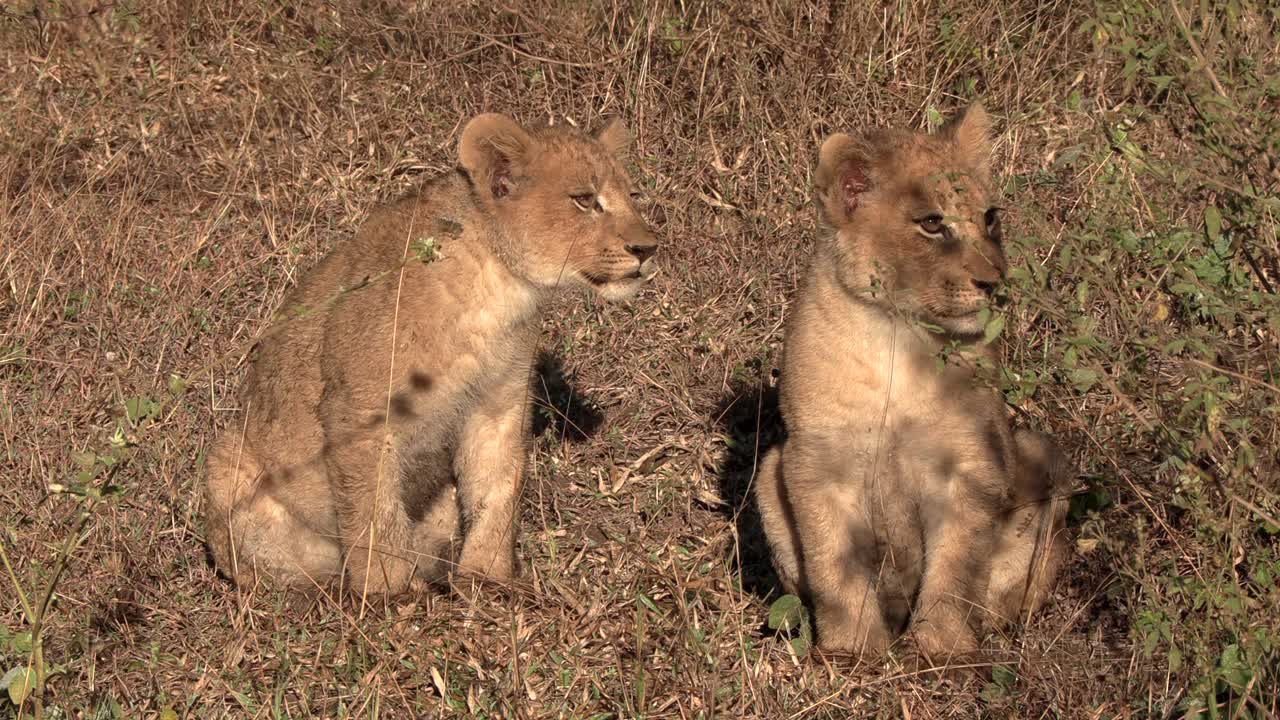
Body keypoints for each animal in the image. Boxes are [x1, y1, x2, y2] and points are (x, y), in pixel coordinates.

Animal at [204, 113, 658, 596]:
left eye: (631, 196)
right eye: (585, 200)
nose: (648, 248)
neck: (497, 288)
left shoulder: (497, 404)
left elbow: (497, 492)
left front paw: (487, 581)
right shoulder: (358, 412)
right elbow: (374, 515)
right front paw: (390, 596)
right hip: (229, 466)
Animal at [754, 104, 1069, 665]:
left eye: (990, 217)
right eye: (931, 223)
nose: (995, 283)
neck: (900, 339)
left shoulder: (970, 462)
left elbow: (956, 568)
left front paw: (943, 653)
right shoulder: (816, 464)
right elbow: (833, 565)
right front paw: (853, 654)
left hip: (1040, 452)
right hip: (770, 471)